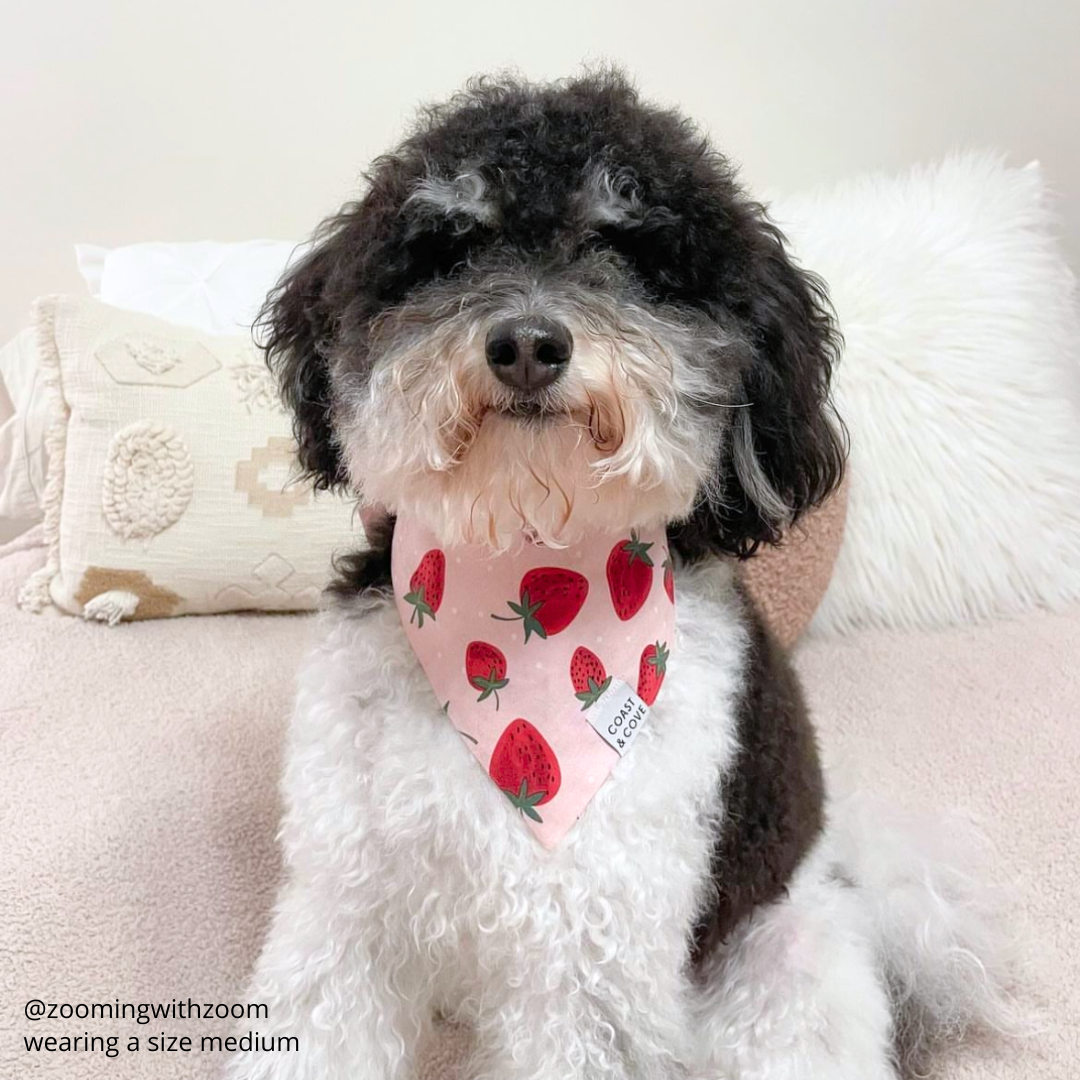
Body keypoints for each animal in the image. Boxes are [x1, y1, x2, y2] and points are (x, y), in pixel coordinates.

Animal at [223, 69, 1015, 1080]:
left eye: (627, 248)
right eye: (454, 245)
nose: (527, 342)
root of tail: (841, 870)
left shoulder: (588, 961)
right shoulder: (345, 906)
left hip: (784, 974)